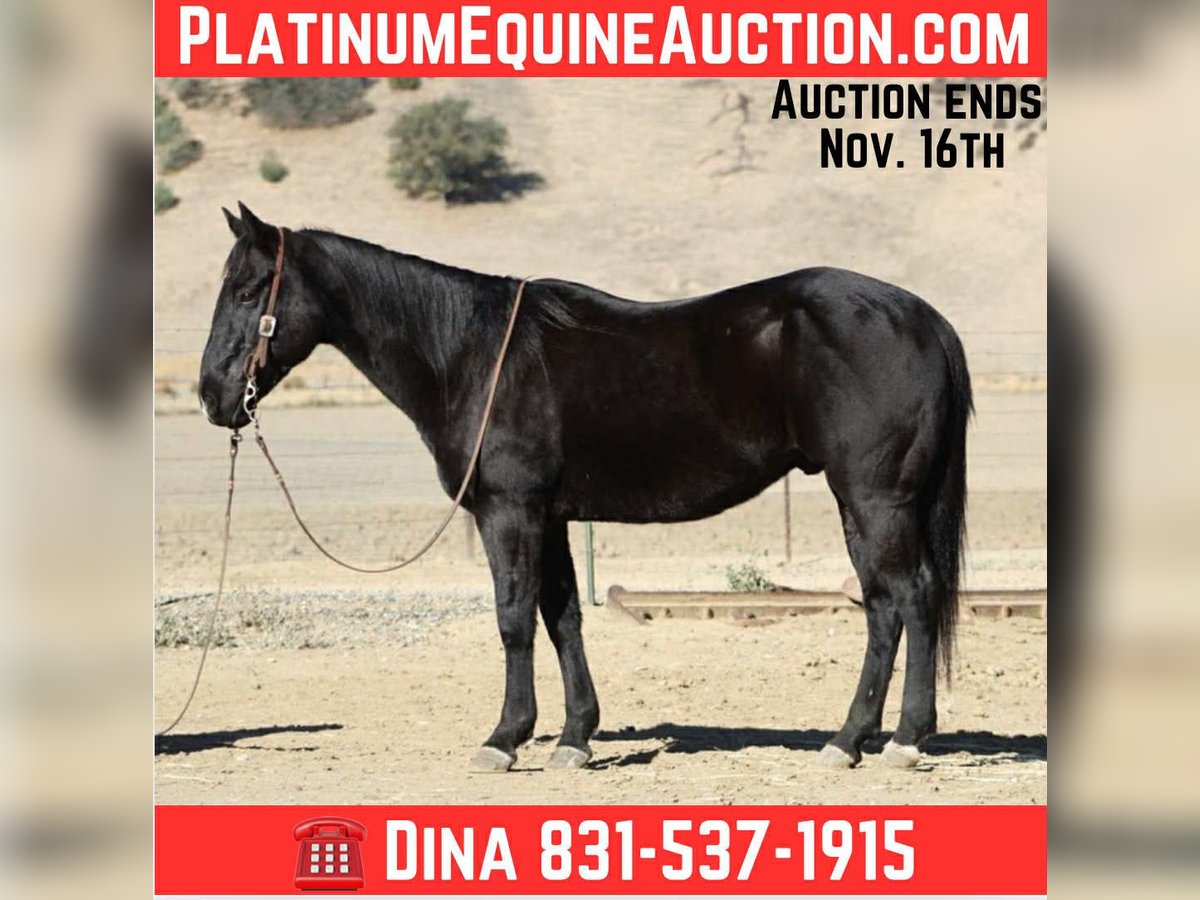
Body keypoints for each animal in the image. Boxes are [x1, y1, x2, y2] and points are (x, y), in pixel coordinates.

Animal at [199, 202, 972, 772]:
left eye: (247, 289)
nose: (212, 395)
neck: (474, 353)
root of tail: (923, 318)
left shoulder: (509, 511)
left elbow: (514, 618)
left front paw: (504, 738)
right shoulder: (552, 517)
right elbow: (562, 616)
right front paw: (574, 737)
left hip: (875, 499)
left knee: (907, 597)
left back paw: (900, 740)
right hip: (864, 503)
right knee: (884, 606)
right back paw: (851, 741)